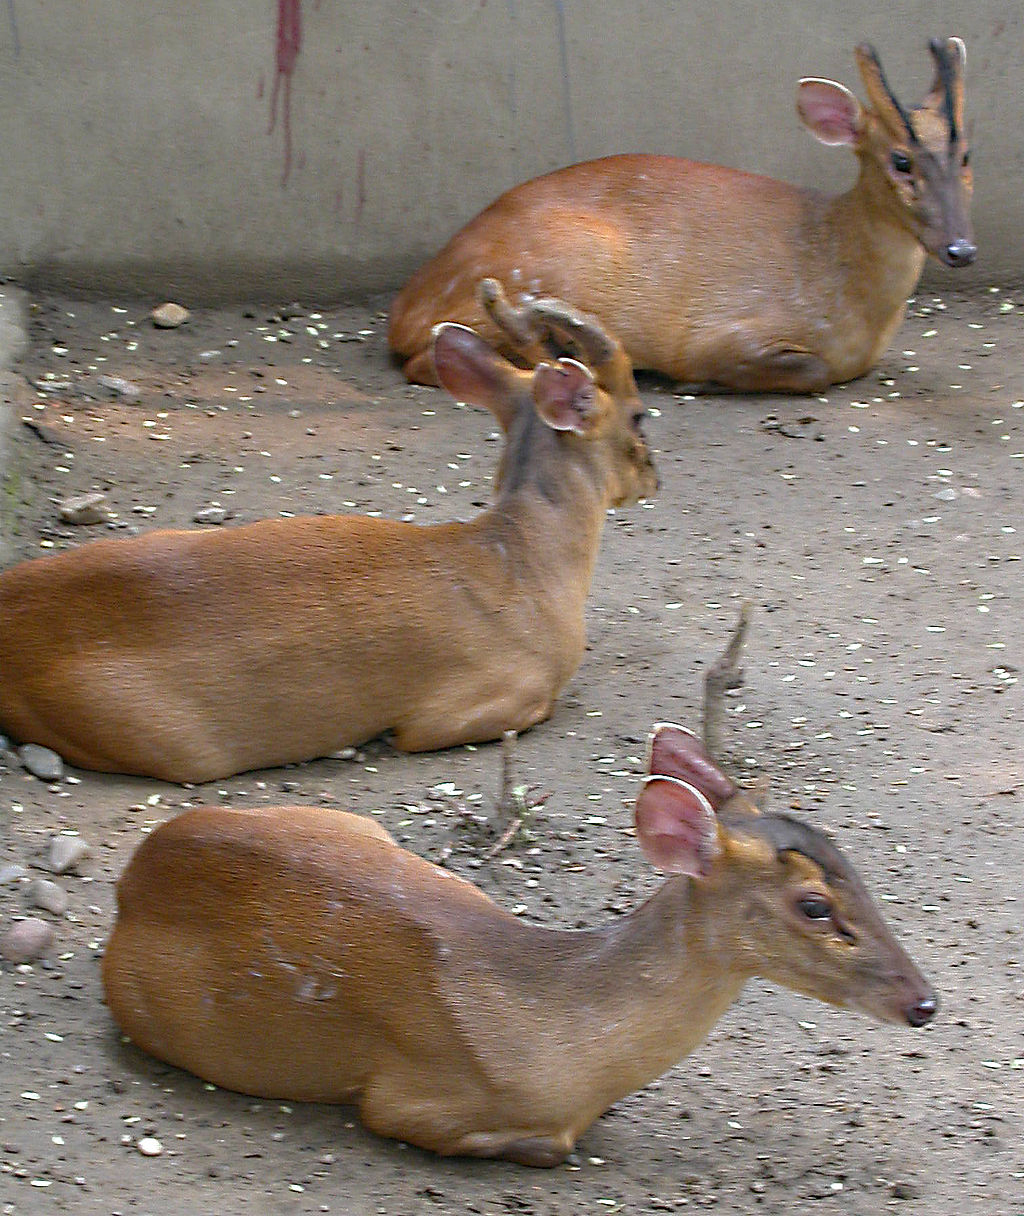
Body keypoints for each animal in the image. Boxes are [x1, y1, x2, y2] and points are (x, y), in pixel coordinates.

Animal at [101, 617, 934, 1167]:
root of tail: (137, 869)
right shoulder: (408, 1101)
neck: (564, 1036)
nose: (924, 1002)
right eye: (814, 906)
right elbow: (547, 1145)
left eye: (852, 863)